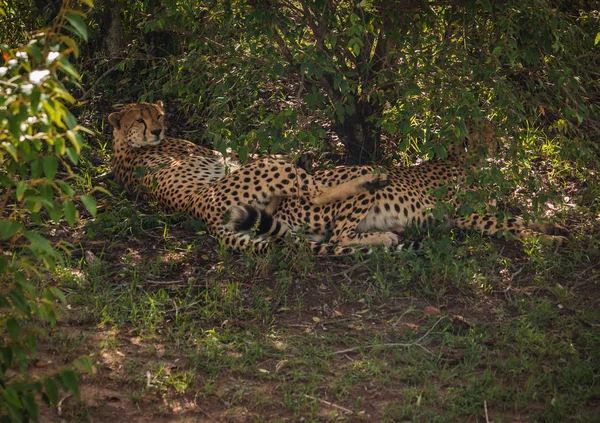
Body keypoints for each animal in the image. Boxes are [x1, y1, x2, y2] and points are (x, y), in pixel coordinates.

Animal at [107, 102, 390, 255]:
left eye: (159, 116)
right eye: (140, 120)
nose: (157, 131)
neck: (125, 144)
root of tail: (205, 216)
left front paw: (302, 155)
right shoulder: (224, 157)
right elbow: (257, 155)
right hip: (269, 173)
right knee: (317, 193)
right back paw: (371, 179)